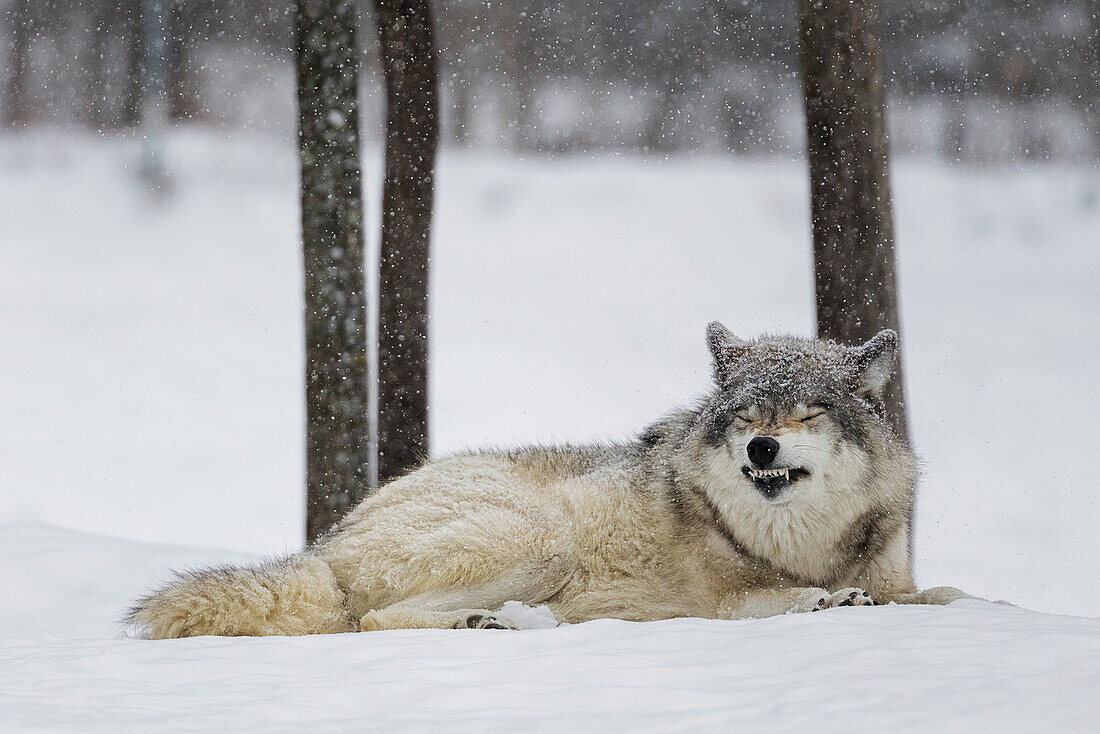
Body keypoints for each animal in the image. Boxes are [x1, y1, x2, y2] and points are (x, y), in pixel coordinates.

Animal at [128, 321, 972, 638]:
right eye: (743, 418)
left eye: (806, 412)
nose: (762, 449)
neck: (802, 542)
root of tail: (326, 543)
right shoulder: (717, 601)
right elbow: (774, 600)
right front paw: (824, 600)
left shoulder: (898, 574)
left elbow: (948, 594)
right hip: (541, 539)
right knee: (370, 620)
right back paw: (494, 623)